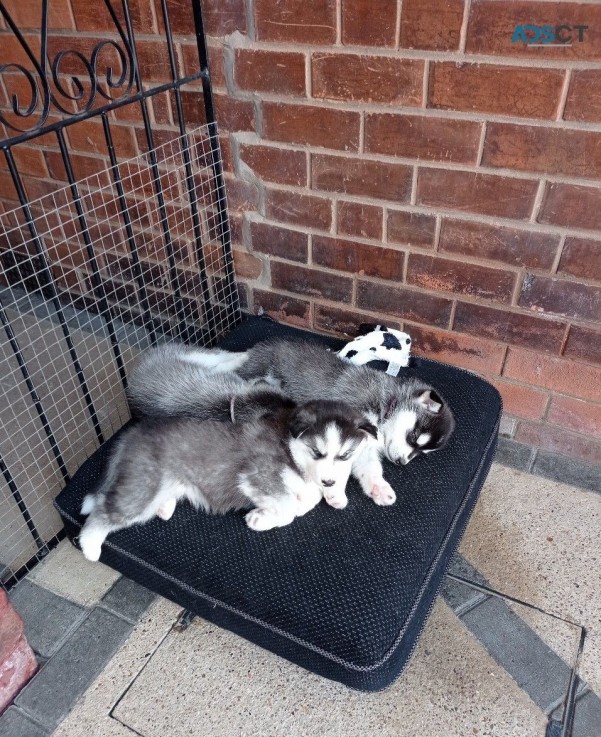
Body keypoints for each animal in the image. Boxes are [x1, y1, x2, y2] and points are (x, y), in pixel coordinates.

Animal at [77, 400, 372, 560]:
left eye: (344, 456)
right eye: (317, 453)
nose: (329, 482)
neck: (290, 446)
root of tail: (132, 433)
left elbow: (308, 497)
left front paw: (331, 496)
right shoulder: (255, 475)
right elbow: (288, 507)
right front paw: (260, 518)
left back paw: (165, 507)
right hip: (142, 491)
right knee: (102, 511)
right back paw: (90, 547)